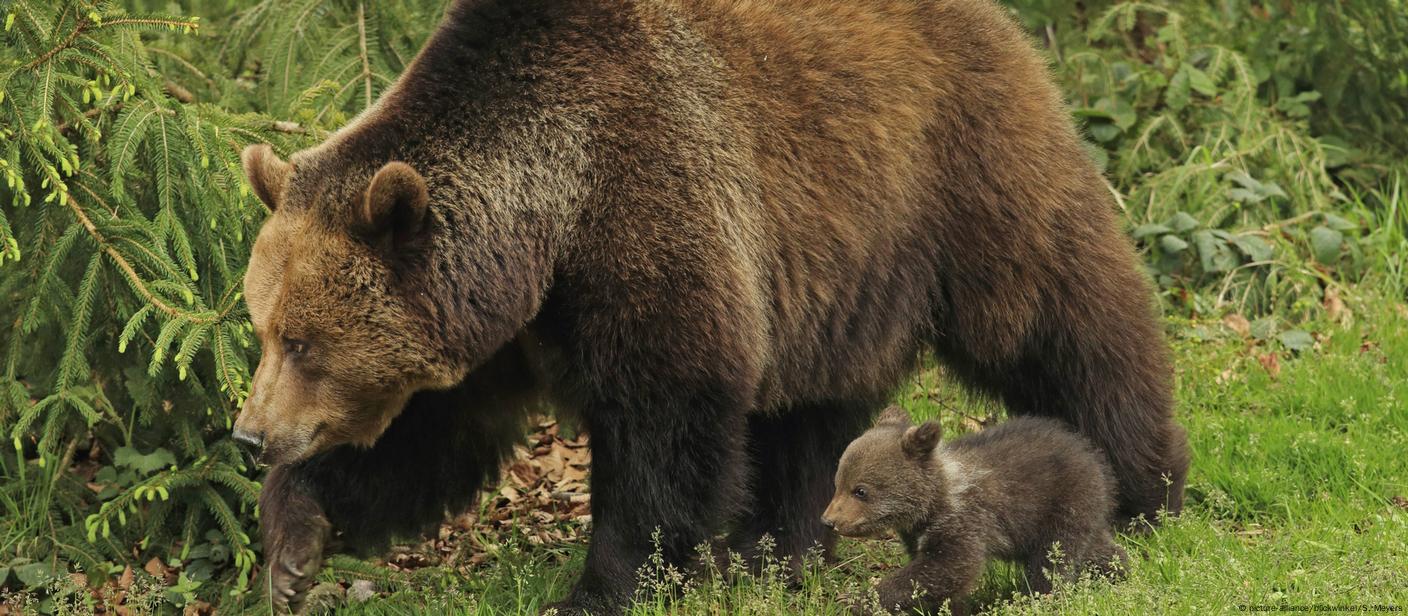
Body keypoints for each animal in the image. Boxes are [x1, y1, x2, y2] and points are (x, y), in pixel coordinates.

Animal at [230, 0, 1188, 610]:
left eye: (305, 341)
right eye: (265, 329)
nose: (248, 435)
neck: (549, 221)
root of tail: (998, 22)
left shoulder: (649, 202)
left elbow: (666, 418)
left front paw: (603, 586)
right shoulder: (501, 326)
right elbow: (428, 436)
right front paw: (294, 541)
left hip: (957, 170)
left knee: (1062, 316)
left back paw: (1146, 483)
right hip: (837, 269)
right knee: (810, 415)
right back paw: (776, 545)